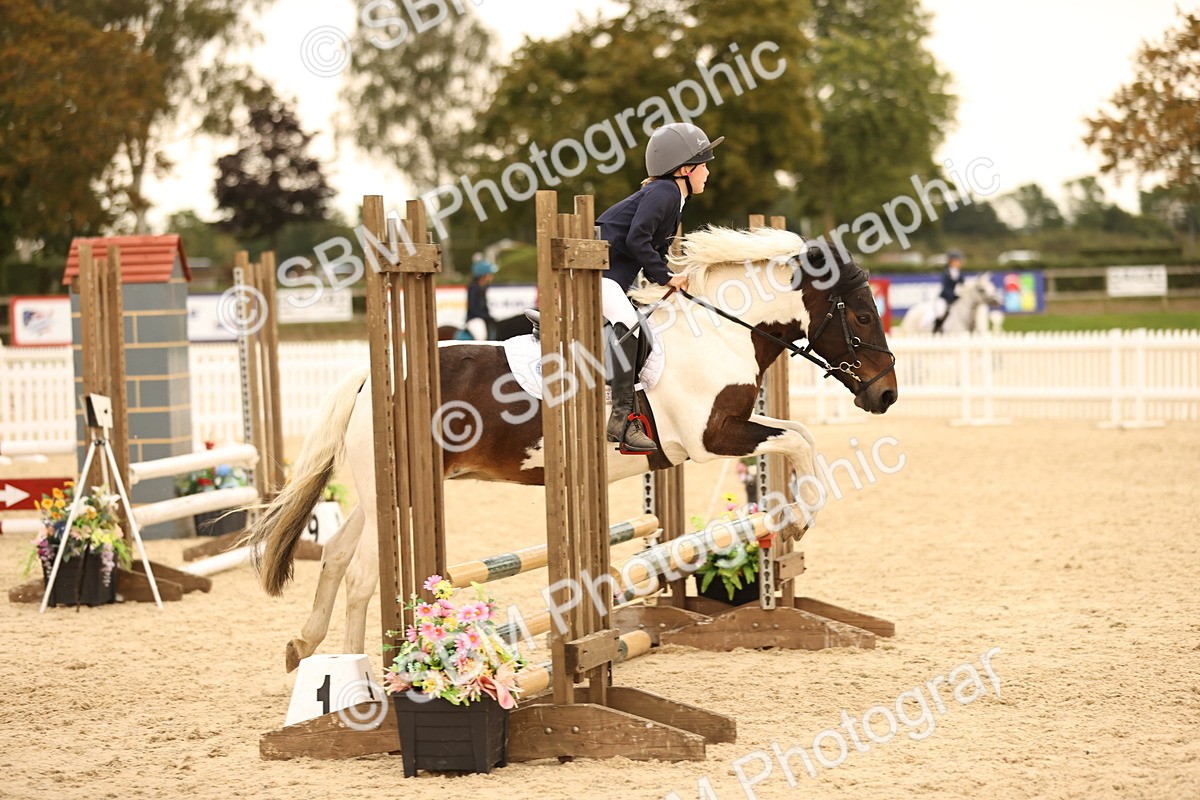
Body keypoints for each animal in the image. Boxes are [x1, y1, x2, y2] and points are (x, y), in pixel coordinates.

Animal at [242, 227, 899, 671]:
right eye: (864, 315)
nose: (887, 394)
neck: (719, 331)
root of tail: (371, 376)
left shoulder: (730, 427)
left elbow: (800, 434)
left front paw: (792, 523)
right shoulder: (712, 437)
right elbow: (796, 441)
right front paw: (800, 517)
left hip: (380, 492)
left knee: (335, 559)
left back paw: (315, 653)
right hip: (398, 493)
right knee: (359, 575)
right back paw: (363, 686)